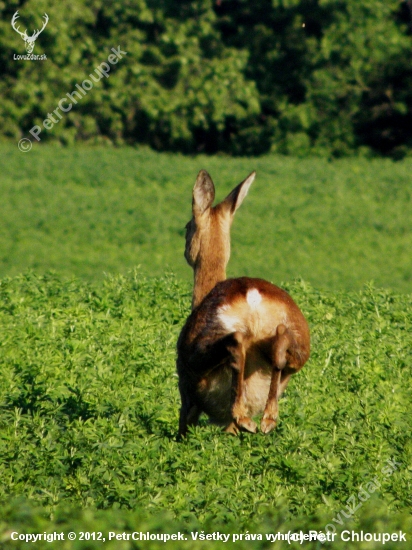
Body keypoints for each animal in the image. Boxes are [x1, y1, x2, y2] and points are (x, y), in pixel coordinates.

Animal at [176, 170, 308, 438]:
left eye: (186, 226)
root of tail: (252, 296)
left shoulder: (185, 388)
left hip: (201, 348)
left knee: (236, 344)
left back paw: (246, 418)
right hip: (300, 337)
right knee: (280, 346)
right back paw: (267, 420)